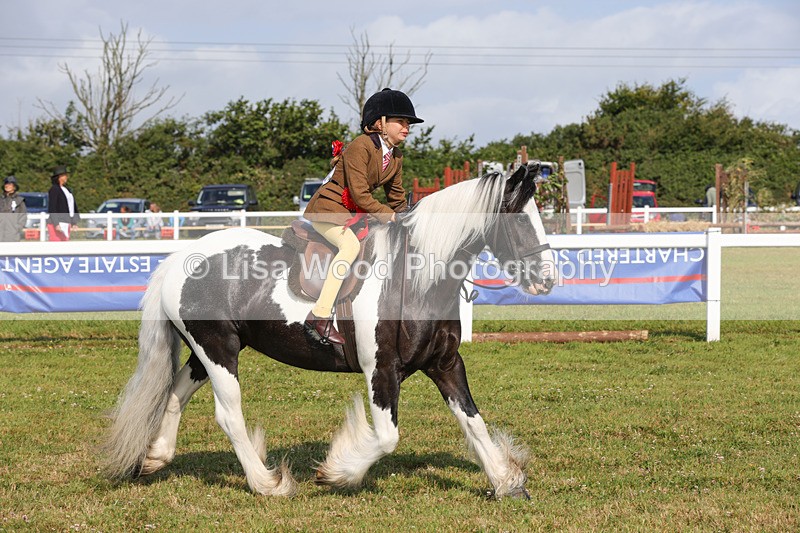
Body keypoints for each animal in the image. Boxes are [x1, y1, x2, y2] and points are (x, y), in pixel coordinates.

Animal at [102, 162, 557, 499]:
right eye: (519, 221)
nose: (548, 279)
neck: (417, 278)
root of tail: (177, 260)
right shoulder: (382, 371)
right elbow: (387, 437)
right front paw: (337, 472)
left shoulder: (445, 364)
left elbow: (473, 422)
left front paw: (505, 481)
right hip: (219, 351)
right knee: (228, 415)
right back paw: (266, 483)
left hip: (208, 351)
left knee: (175, 395)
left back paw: (155, 458)